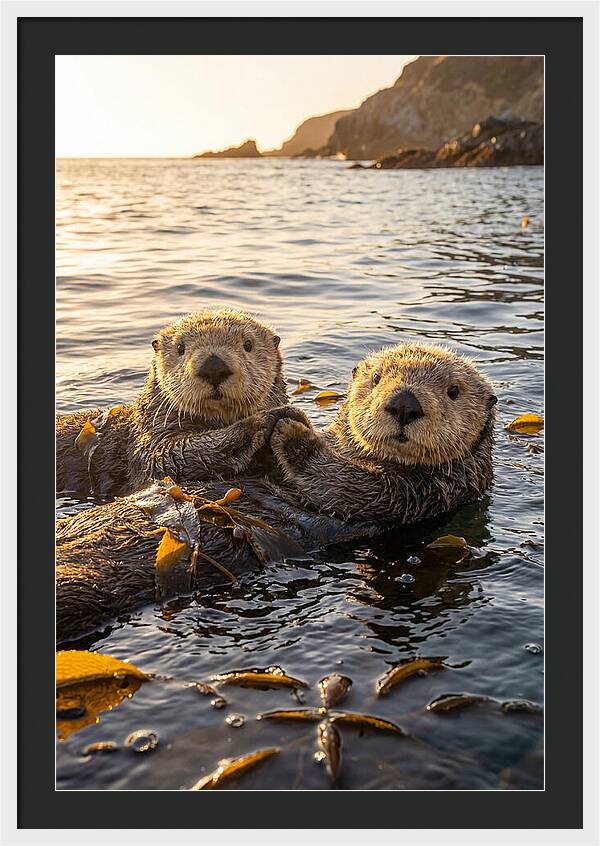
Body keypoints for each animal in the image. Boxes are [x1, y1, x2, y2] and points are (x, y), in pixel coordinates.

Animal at [56, 309, 307, 498]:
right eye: (180, 348)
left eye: (247, 344)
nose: (213, 367)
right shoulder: (150, 439)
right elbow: (168, 456)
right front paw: (266, 419)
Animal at [56, 343, 496, 642]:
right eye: (375, 381)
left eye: (453, 391)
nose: (404, 403)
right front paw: (275, 419)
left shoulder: (419, 494)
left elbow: (343, 483)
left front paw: (291, 429)